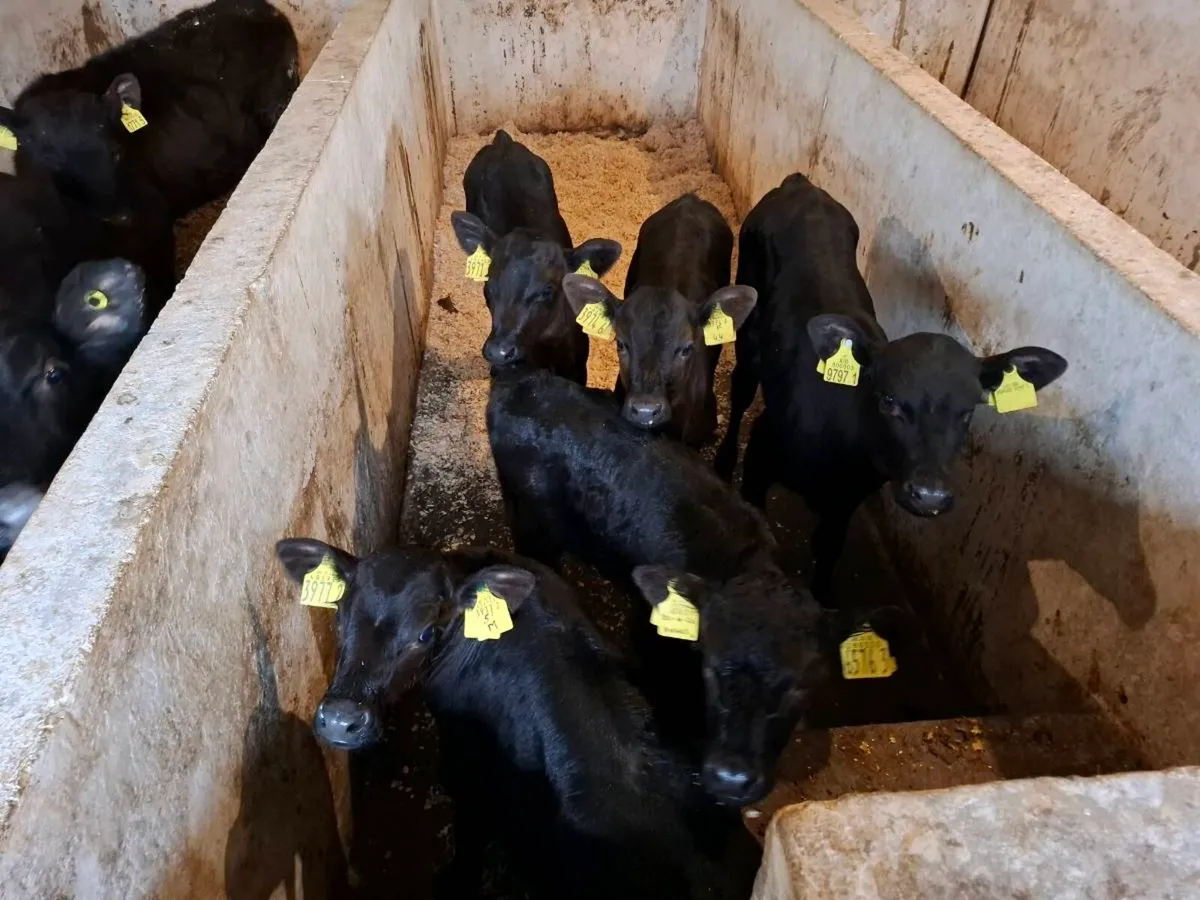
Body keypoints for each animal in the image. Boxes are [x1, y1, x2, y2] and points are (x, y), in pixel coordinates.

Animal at [276, 540, 761, 900]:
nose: (341, 720)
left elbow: (470, 830)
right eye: (340, 618)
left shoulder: (467, 760)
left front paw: (455, 880)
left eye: (427, 633)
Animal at [450, 130, 622, 382]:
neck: (546, 351)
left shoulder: (578, 368)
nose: (499, 351)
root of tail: (504, 142)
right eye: (488, 287)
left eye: (547, 290)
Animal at [715, 173, 1067, 602]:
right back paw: (723, 459)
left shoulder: (848, 498)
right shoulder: (761, 454)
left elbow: (828, 548)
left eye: (968, 411)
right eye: (889, 400)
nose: (930, 495)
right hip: (749, 323)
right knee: (741, 388)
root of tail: (800, 184)